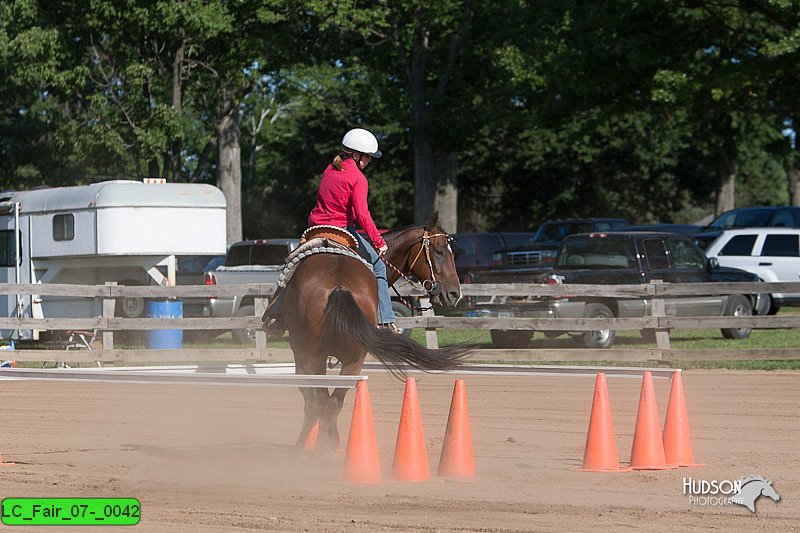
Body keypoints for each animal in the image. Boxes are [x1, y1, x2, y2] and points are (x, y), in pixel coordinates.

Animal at [282, 212, 468, 454]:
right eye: (439, 251)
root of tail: (338, 286)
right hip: (344, 359)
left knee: (320, 401)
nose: (454, 294)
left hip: (318, 356)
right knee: (327, 402)